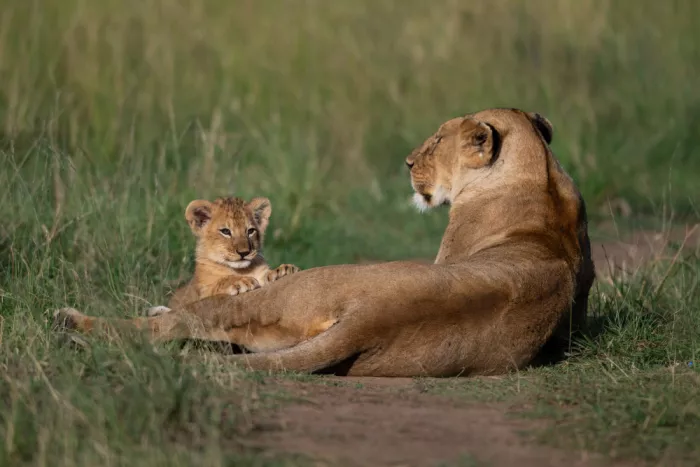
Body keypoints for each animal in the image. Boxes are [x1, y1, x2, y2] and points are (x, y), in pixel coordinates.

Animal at [146, 196, 300, 317]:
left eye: (250, 231)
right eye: (225, 231)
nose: (244, 252)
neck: (241, 270)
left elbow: (267, 274)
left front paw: (283, 270)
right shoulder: (199, 297)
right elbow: (219, 283)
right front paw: (241, 282)